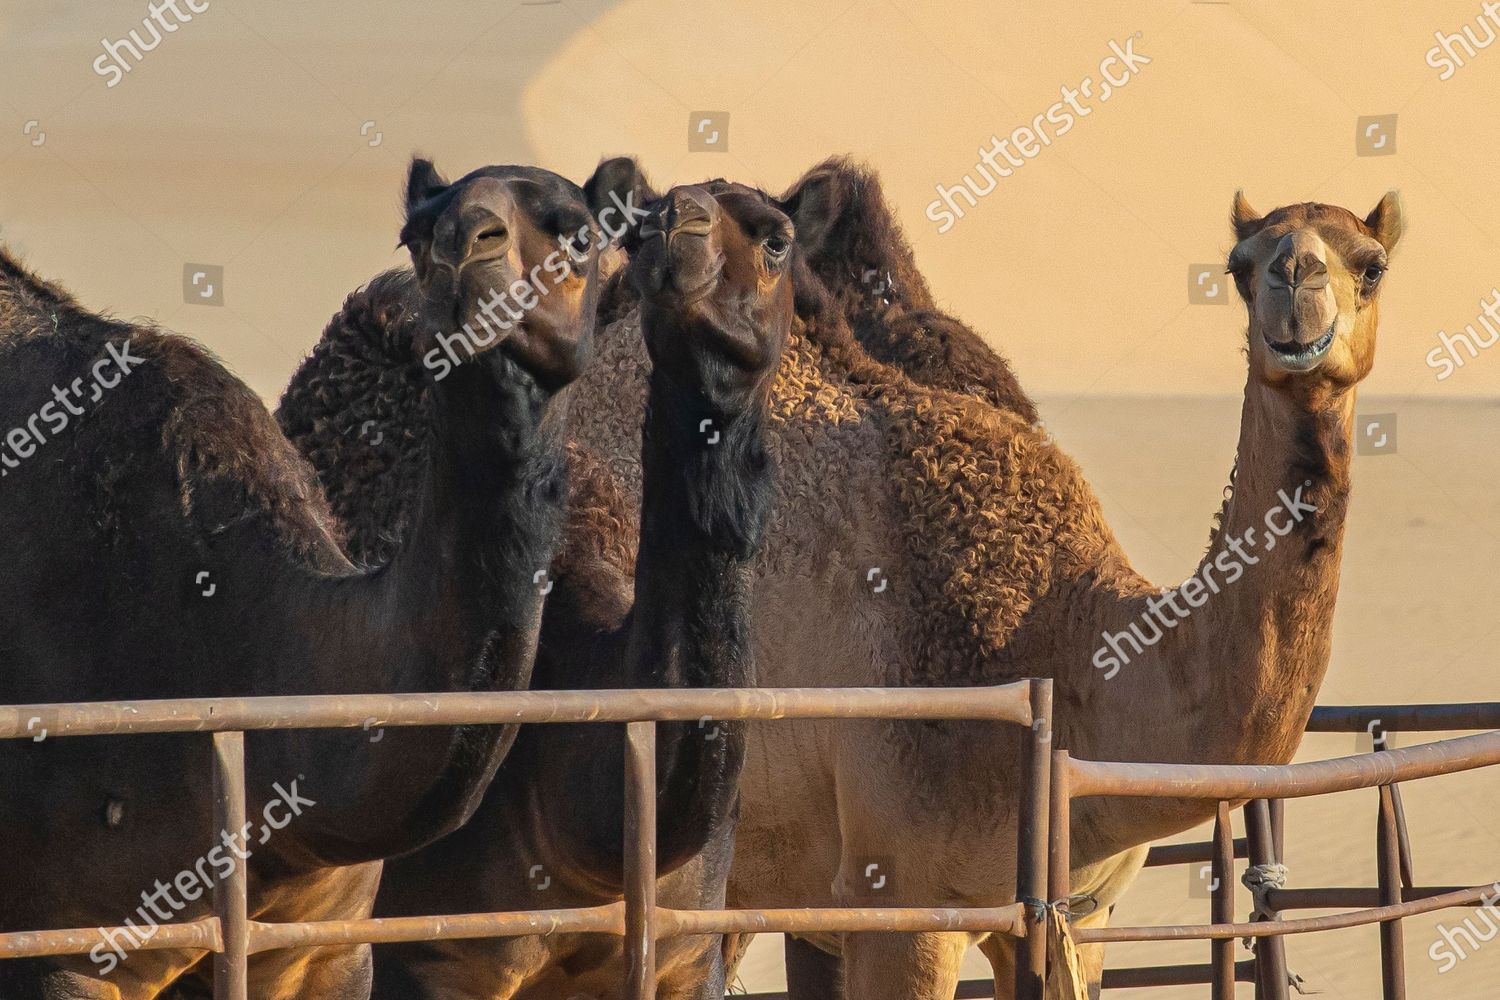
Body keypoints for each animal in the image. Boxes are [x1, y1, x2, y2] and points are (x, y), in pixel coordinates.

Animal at [561, 182, 1392, 1000]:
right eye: (1239, 266)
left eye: (1372, 263)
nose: (1296, 286)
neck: (1066, 642)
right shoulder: (902, 896)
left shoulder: (1080, 917)